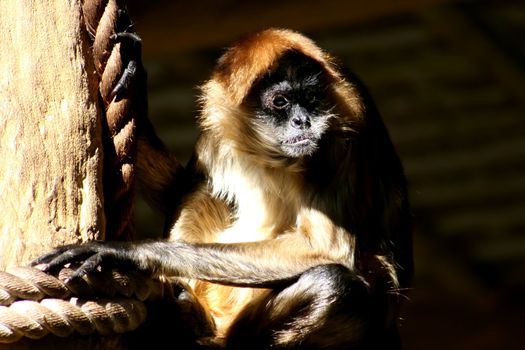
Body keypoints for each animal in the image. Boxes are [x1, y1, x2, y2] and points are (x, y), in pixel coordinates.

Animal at [35, 28, 414, 348]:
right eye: (280, 102)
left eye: (310, 97)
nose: (303, 121)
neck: (272, 156)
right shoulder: (218, 127)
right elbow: (179, 188)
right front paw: (134, 77)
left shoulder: (345, 128)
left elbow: (327, 249)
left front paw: (127, 253)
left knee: (335, 285)